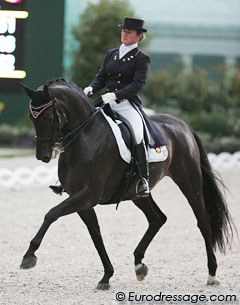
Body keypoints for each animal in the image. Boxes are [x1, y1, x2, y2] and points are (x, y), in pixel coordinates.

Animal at [19, 78, 233, 288]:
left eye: (48, 117)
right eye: (31, 117)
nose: (43, 156)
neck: (85, 136)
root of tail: (182, 125)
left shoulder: (88, 195)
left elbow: (51, 214)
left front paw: (29, 256)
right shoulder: (81, 200)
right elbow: (95, 234)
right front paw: (106, 276)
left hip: (188, 181)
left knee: (202, 220)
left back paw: (212, 274)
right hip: (137, 194)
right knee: (157, 218)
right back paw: (139, 265)